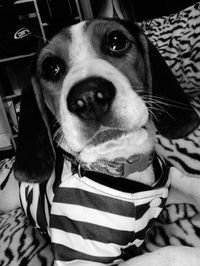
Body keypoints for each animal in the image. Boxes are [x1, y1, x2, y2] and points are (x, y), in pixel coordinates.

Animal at [1, 17, 200, 264]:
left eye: (117, 41)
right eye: (50, 67)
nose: (88, 98)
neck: (120, 164)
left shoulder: (162, 191)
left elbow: (188, 181)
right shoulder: (81, 257)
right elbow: (170, 252)